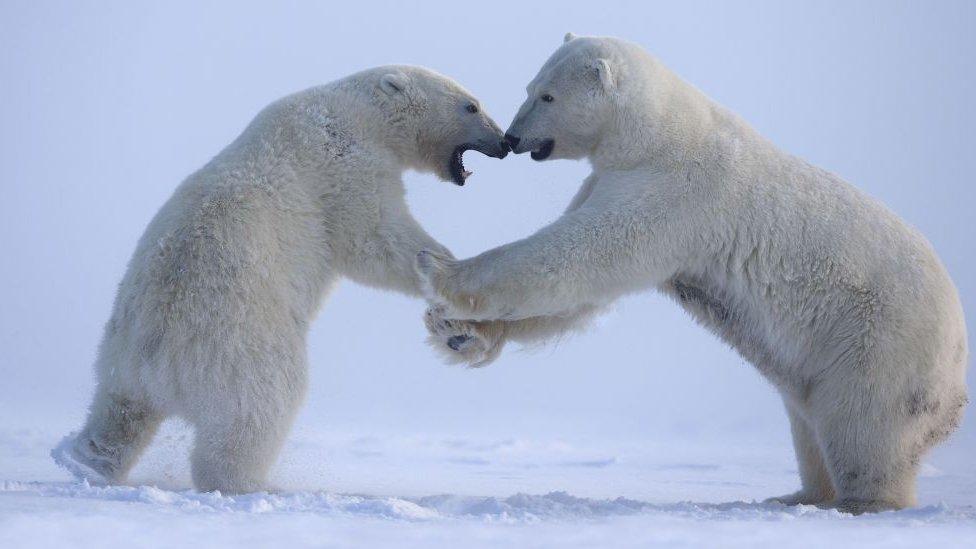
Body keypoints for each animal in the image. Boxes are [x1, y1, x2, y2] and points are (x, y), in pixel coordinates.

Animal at [51, 65, 510, 492]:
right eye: (471, 105)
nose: (504, 142)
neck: (359, 112)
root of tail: (158, 360)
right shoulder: (346, 164)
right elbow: (373, 239)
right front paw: (444, 267)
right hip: (239, 349)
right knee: (257, 413)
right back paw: (249, 483)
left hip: (118, 361)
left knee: (117, 418)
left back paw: (85, 462)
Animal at [420, 34, 968, 512]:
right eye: (529, 88)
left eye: (547, 95)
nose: (513, 137)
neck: (658, 134)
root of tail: (957, 379)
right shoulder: (617, 182)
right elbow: (581, 299)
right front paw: (458, 334)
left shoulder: (674, 194)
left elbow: (582, 257)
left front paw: (442, 272)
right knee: (809, 424)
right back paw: (799, 494)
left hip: (877, 339)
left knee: (863, 424)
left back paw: (861, 501)